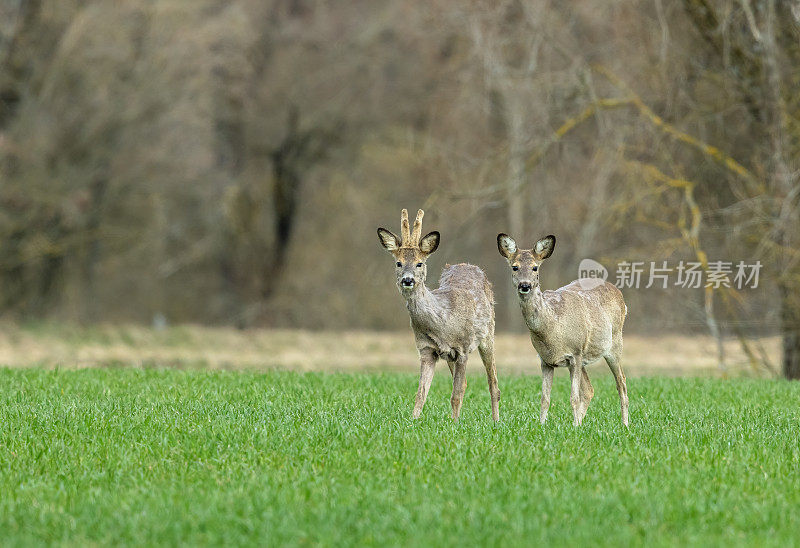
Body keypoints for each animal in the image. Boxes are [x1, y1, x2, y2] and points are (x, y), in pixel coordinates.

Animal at [376, 209, 500, 420]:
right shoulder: (427, 349)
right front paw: (413, 421)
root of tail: (467, 265)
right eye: (399, 263)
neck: (443, 320)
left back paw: (496, 420)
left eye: (419, 263)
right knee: (465, 382)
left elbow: (456, 395)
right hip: (450, 355)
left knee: (493, 383)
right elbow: (421, 393)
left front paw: (454, 424)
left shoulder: (463, 348)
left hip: (488, 334)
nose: (407, 280)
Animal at [496, 233, 628, 426]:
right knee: (589, 390)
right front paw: (542, 425)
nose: (525, 285)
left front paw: (574, 427)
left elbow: (573, 397)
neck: (552, 329)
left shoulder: (575, 353)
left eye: (535, 267)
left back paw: (625, 424)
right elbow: (545, 398)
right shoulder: (545, 360)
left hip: (614, 343)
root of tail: (618, 293)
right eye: (515, 267)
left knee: (621, 383)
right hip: (584, 359)